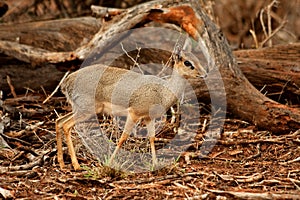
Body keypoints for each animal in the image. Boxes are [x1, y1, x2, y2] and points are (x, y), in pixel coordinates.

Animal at [55, 47, 206, 170]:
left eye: (197, 59)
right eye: (187, 63)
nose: (204, 74)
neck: (162, 92)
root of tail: (67, 81)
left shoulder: (148, 117)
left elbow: (152, 138)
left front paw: (155, 164)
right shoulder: (134, 114)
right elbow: (123, 137)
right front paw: (110, 163)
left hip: (78, 109)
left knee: (59, 121)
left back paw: (62, 164)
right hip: (86, 110)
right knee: (66, 125)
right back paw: (76, 165)